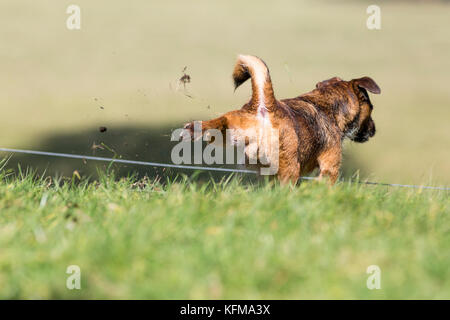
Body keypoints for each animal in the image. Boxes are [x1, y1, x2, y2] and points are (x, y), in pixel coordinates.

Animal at [183, 55, 380, 185]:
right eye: (371, 108)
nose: (374, 130)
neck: (325, 103)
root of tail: (265, 106)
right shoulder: (329, 166)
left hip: (234, 122)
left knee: (220, 121)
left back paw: (194, 129)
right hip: (290, 167)